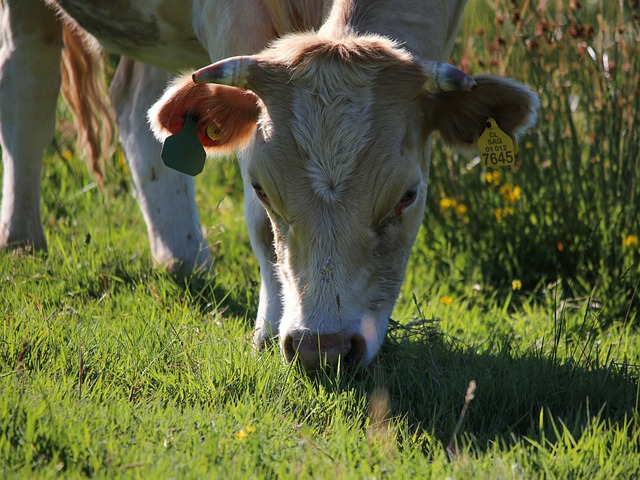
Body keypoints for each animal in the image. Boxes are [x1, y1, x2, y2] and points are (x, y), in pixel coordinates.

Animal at [0, 0, 536, 372]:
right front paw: (266, 330)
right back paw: (22, 242)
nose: (324, 349)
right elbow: (258, 225)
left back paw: (184, 260)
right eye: (260, 188)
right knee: (27, 83)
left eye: (408, 195)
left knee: (136, 106)